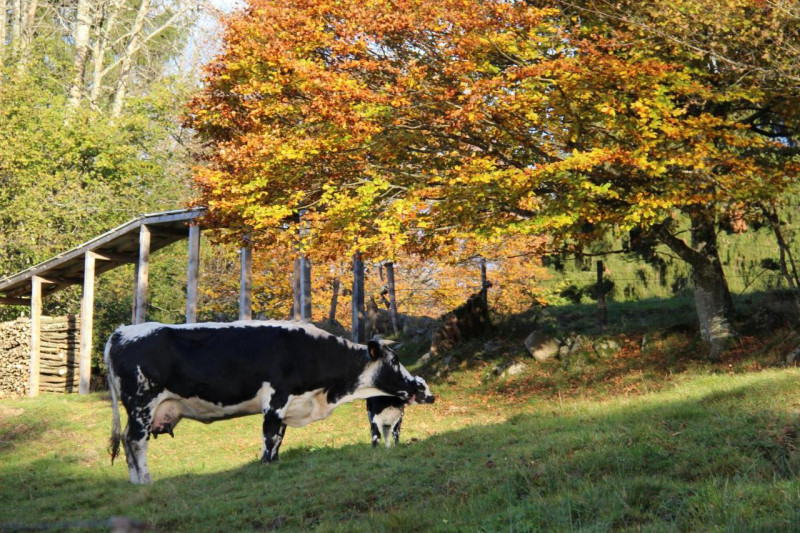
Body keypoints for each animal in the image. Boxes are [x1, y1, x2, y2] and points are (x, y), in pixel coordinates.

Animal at [104, 320, 435, 484]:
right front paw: (264, 466)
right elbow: (270, 437)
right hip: (142, 403)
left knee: (127, 442)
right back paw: (145, 481)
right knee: (135, 442)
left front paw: (274, 465)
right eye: (395, 361)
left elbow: (279, 441)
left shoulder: (288, 406)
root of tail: (122, 331)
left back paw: (135, 484)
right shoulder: (276, 400)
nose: (418, 389)